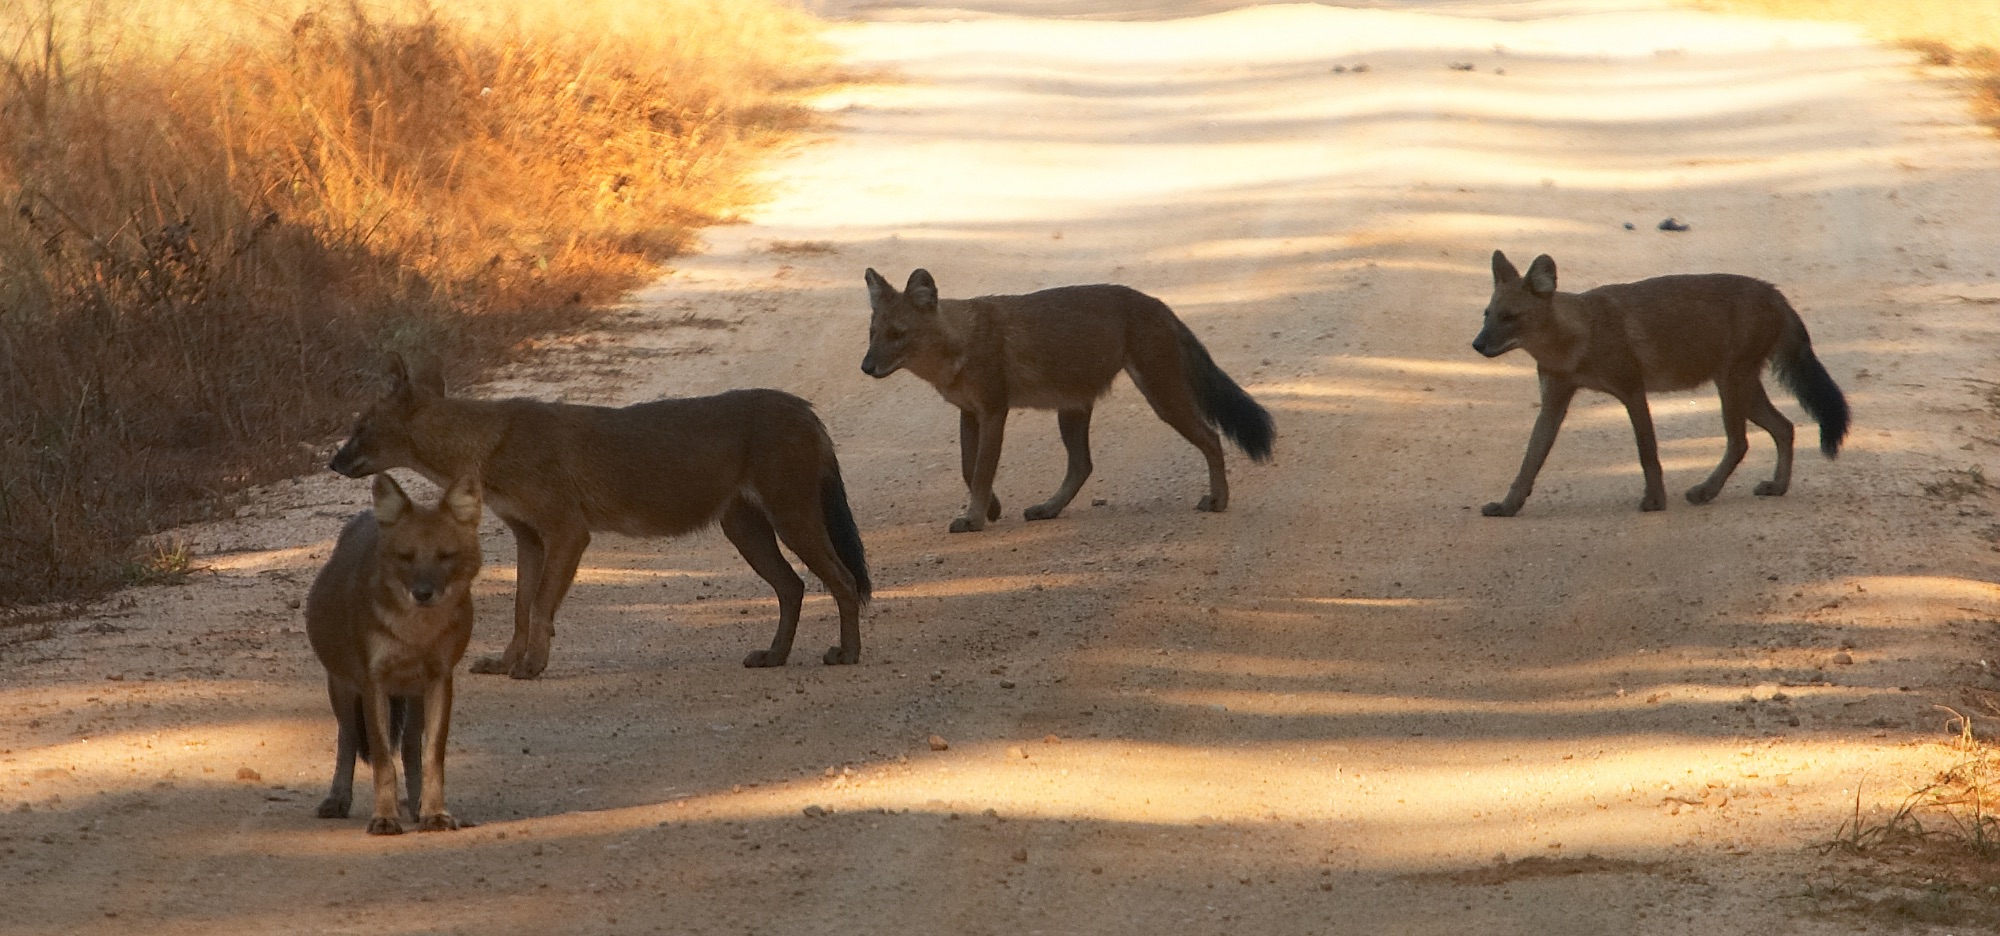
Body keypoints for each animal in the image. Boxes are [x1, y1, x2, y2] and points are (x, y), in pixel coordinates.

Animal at [310, 476, 486, 832]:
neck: (416, 634)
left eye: (445, 556)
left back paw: (418, 806)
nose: (423, 593)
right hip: (341, 686)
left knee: (409, 746)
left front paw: (435, 813)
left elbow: (432, 755)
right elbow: (381, 759)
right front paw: (384, 818)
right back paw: (337, 799)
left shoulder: (439, 680)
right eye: (406, 556)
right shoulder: (373, 683)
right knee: (348, 738)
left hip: (413, 694)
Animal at [328, 354, 868, 676]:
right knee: (793, 587)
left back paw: (847, 655)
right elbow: (521, 609)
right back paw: (774, 656)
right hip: (745, 530)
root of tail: (805, 408)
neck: (485, 447)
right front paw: (506, 662)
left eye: (361, 427)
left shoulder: (568, 532)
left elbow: (540, 607)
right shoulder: (529, 537)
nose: (331, 461)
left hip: (791, 519)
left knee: (843, 581)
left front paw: (533, 666)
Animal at [856, 270, 1264, 532]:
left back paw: (1218, 501)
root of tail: (1159, 303)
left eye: (898, 334)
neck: (959, 342)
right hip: (1072, 409)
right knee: (1082, 465)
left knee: (1211, 437)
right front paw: (990, 508)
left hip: (1161, 395)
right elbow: (967, 468)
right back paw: (1048, 509)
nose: (865, 367)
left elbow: (982, 469)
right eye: (873, 333)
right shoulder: (968, 413)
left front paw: (973, 519)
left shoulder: (994, 410)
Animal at [1472, 252, 1840, 516]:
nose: (1477, 345)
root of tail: (1774, 292)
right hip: (1743, 388)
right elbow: (1530, 460)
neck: (1578, 337)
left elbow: (1647, 451)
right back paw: (1776, 486)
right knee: (1784, 427)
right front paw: (1508, 506)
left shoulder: (1632, 390)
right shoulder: (1554, 403)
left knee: (1741, 442)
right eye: (1487, 314)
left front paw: (1655, 501)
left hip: (1732, 385)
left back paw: (1704, 491)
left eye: (1510, 317)